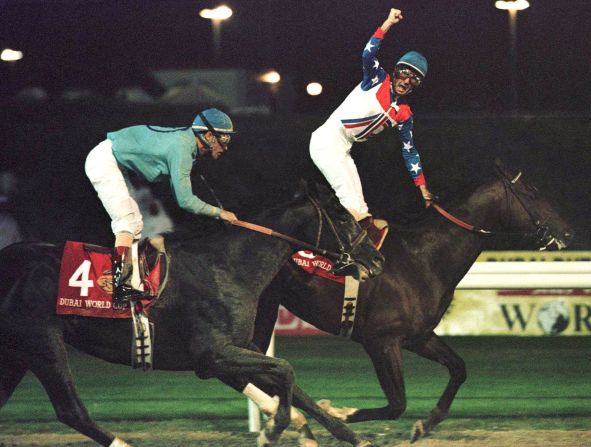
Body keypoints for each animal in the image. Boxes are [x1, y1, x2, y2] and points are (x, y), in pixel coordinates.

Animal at [0, 183, 386, 447]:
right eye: (341, 216)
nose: (377, 259)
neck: (228, 266)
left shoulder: (234, 351)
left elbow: (294, 386)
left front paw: (347, 434)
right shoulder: (212, 354)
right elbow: (286, 369)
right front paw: (274, 428)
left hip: (18, 353)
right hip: (43, 342)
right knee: (70, 410)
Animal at [253, 159, 572, 442]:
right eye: (532, 191)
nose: (567, 232)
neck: (423, 257)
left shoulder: (418, 336)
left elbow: (458, 369)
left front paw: (425, 425)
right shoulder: (380, 341)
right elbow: (397, 404)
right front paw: (341, 412)